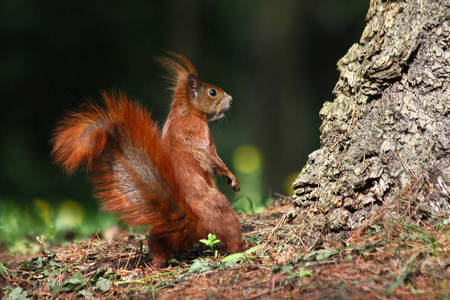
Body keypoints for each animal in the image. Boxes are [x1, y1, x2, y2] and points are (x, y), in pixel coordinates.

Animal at [50, 52, 243, 266]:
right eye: (212, 92)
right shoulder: (200, 136)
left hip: (157, 236)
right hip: (222, 211)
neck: (186, 111)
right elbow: (214, 159)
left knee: (159, 249)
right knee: (231, 234)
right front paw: (232, 178)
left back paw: (157, 264)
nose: (231, 99)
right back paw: (242, 247)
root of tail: (189, 221)